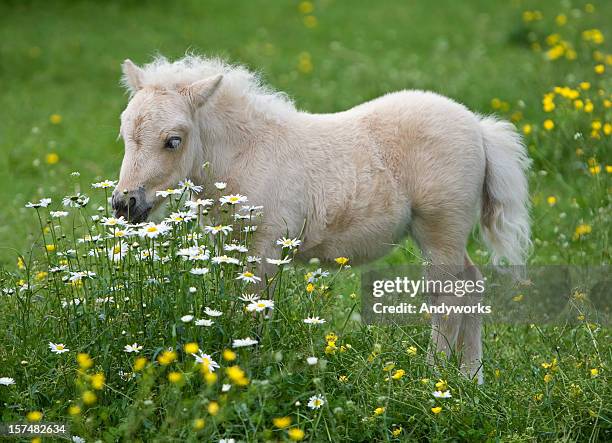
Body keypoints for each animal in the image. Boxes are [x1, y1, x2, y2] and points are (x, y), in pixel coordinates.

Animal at [112, 55, 528, 384]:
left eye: (174, 140)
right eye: (124, 133)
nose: (125, 204)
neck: (248, 153)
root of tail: (478, 127)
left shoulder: (265, 247)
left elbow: (254, 308)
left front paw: (248, 369)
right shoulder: (232, 246)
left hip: (440, 229)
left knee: (448, 296)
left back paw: (435, 377)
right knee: (472, 284)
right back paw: (471, 380)